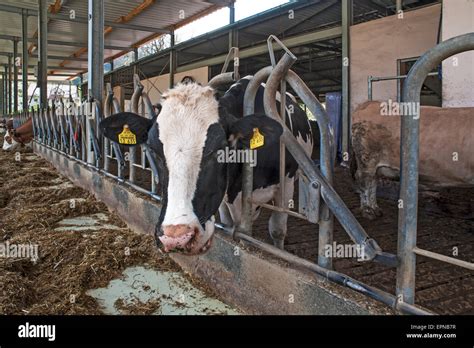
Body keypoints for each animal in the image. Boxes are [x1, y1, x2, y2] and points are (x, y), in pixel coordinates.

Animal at [100, 77, 318, 254]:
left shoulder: (286, 183)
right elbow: (230, 224)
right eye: (153, 149)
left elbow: (277, 229)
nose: (176, 237)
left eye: (219, 149)